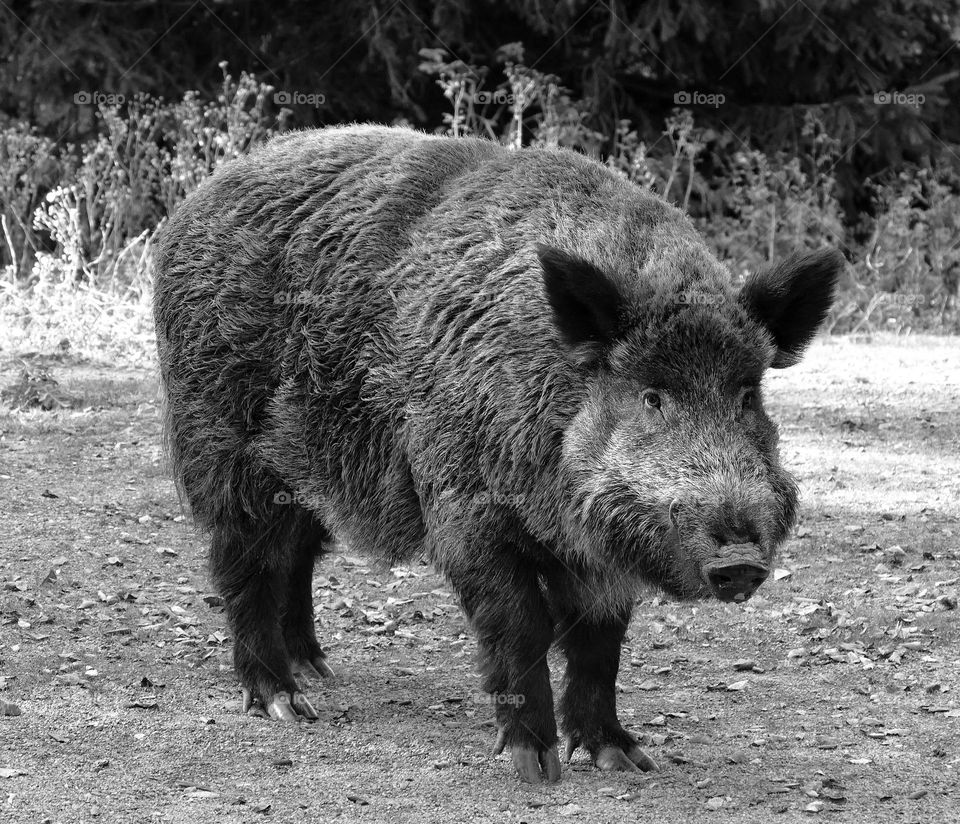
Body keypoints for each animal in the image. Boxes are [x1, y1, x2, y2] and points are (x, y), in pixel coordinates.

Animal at [153, 124, 842, 784]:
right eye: (651, 395)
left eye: (747, 394)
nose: (740, 559)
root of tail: (187, 209)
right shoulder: (465, 509)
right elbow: (520, 625)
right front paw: (535, 768)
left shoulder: (598, 551)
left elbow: (601, 642)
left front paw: (625, 759)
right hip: (221, 440)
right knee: (245, 559)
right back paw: (286, 703)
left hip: (308, 466)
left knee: (296, 551)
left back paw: (318, 670)